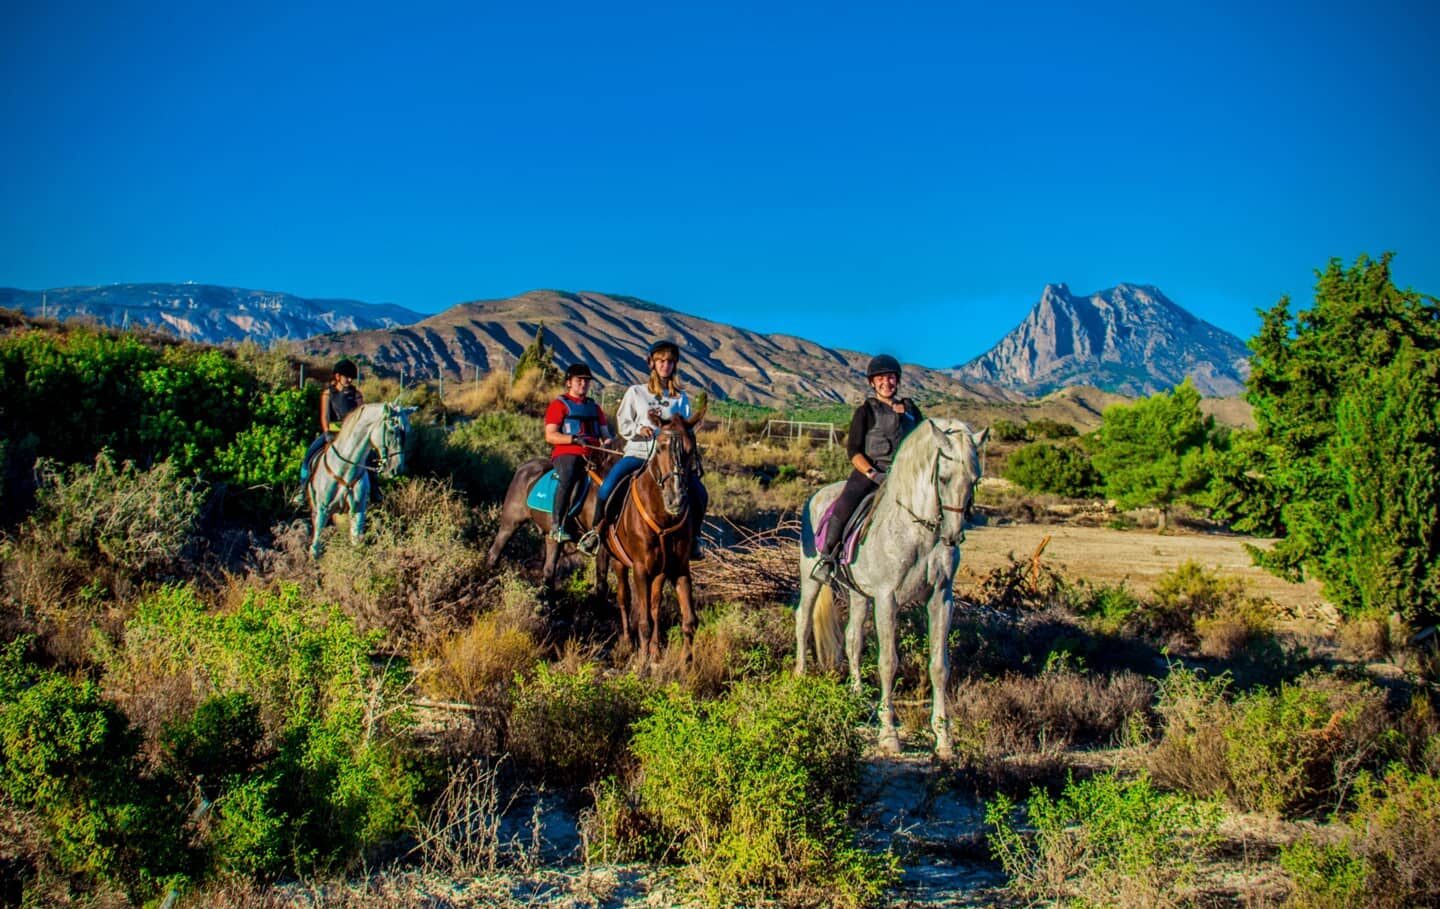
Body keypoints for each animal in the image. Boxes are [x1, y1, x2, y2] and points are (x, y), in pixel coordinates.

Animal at [305, 400, 414, 558]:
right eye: (392, 431)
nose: (397, 468)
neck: (345, 469)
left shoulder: (358, 509)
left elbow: (356, 540)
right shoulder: (322, 510)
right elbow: (316, 543)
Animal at [486, 449, 616, 596]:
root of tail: (525, 466)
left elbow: (602, 580)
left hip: (549, 536)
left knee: (549, 570)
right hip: (510, 524)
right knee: (495, 552)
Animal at [601, 414, 702, 665]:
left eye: (690, 450)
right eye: (660, 448)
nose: (676, 499)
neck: (663, 518)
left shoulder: (678, 568)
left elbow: (688, 621)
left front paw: (686, 663)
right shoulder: (640, 568)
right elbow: (644, 621)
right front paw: (642, 663)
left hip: (659, 571)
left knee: (654, 606)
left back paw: (655, 650)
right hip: (619, 562)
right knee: (624, 599)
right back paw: (628, 642)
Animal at [794, 420, 984, 760]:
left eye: (975, 480)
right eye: (944, 478)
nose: (952, 537)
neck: (920, 532)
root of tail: (816, 495)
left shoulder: (941, 598)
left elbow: (939, 666)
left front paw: (944, 739)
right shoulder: (887, 599)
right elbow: (888, 662)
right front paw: (889, 735)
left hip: (858, 592)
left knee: (853, 638)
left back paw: (856, 694)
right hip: (811, 577)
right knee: (803, 619)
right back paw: (800, 676)